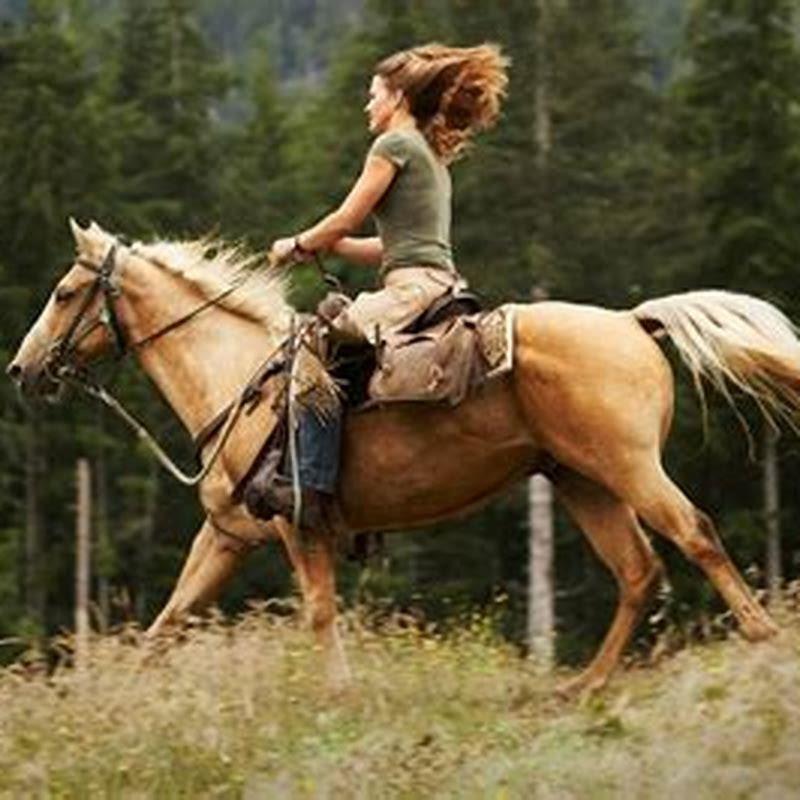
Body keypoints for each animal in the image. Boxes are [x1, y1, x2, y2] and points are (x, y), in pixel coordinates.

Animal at [9, 219, 800, 696]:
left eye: (66, 291)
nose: (22, 369)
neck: (240, 380)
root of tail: (635, 321)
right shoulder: (228, 535)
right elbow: (167, 622)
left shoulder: (298, 525)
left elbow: (319, 614)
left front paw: (340, 697)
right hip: (583, 481)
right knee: (637, 573)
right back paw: (580, 687)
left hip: (630, 469)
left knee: (694, 534)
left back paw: (764, 640)